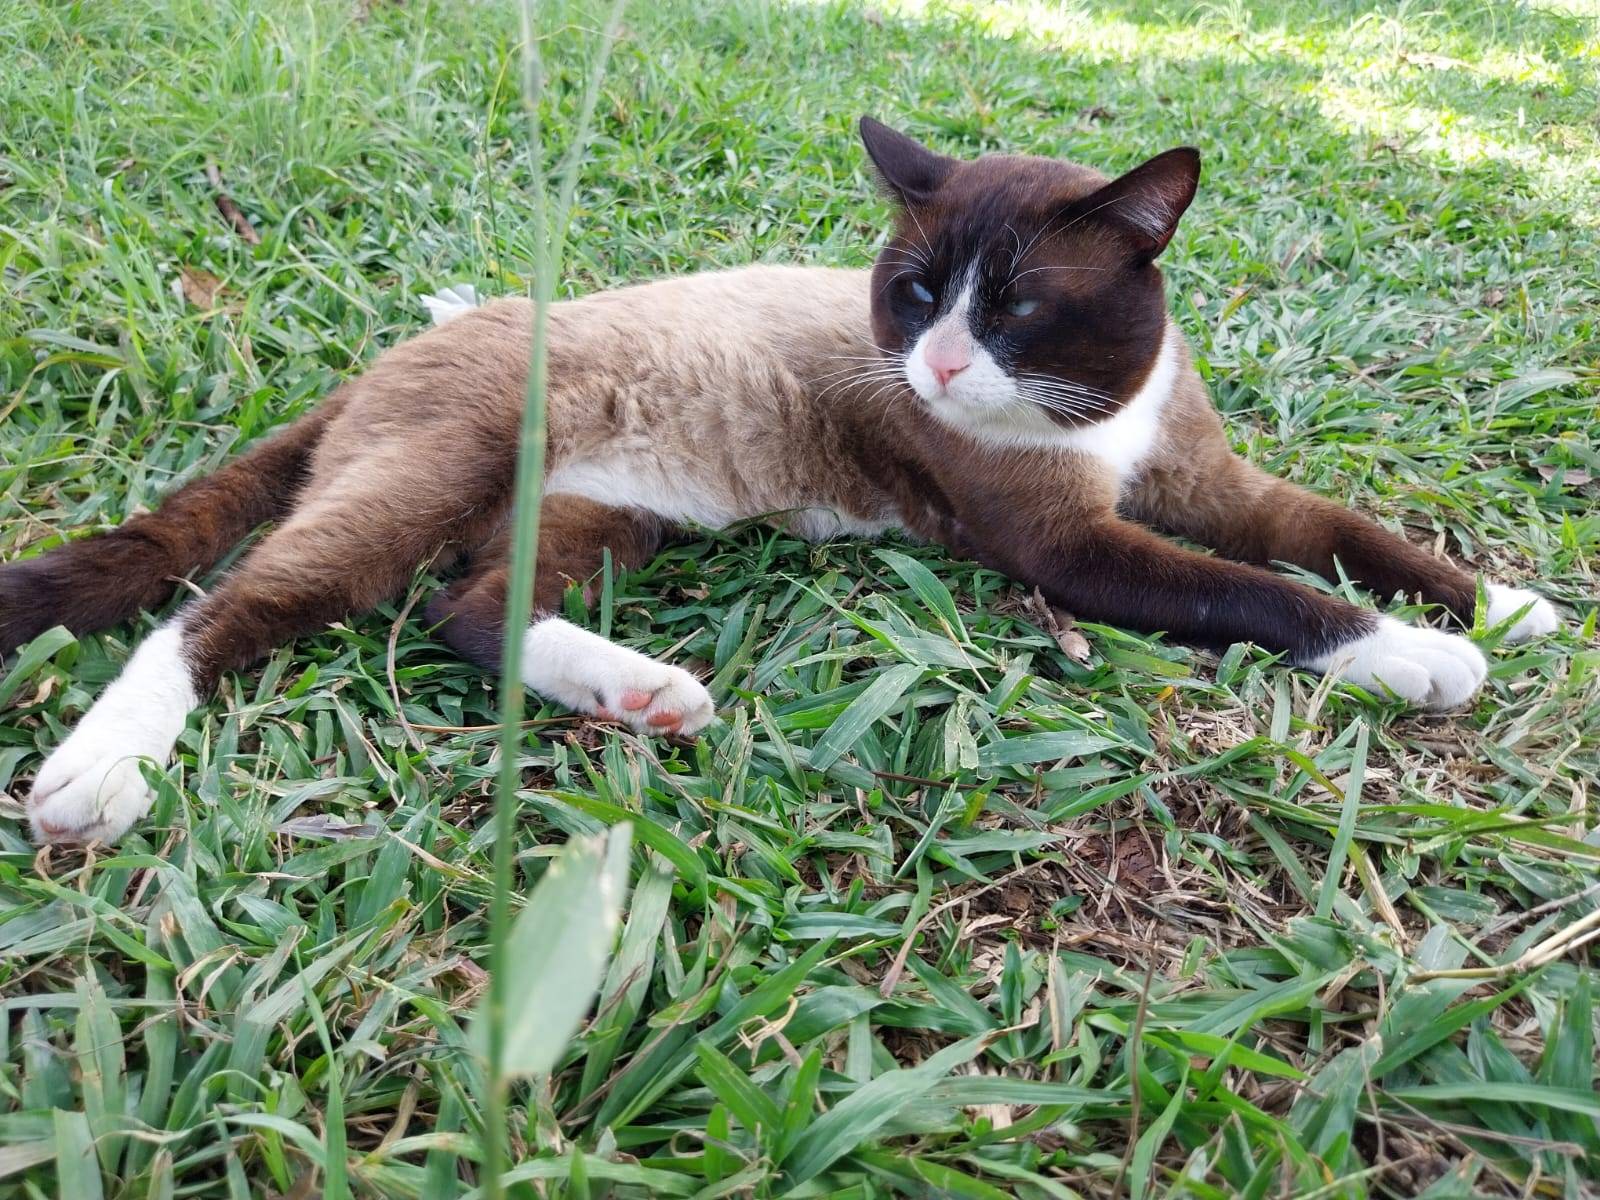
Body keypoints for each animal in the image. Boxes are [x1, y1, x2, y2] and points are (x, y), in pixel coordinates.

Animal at [0, 116, 1560, 846]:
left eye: (1017, 308)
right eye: (916, 291)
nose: (937, 365)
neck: (1103, 418)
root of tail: (398, 351)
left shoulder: (1214, 483)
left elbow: (1341, 532)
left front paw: (1504, 608)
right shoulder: (1071, 550)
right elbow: (1259, 591)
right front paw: (1414, 657)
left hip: (604, 507)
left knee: (470, 609)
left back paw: (641, 691)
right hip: (439, 472)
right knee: (227, 611)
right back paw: (102, 770)